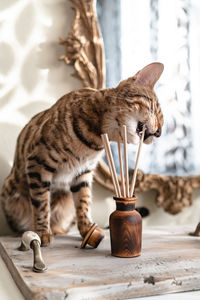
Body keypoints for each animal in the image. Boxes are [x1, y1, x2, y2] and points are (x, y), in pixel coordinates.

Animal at [0, 61, 164, 246]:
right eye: (155, 109)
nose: (159, 133)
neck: (94, 141)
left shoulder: (83, 172)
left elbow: (83, 202)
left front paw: (87, 228)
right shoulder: (38, 162)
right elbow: (41, 203)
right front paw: (42, 232)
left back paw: (58, 230)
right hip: (11, 193)